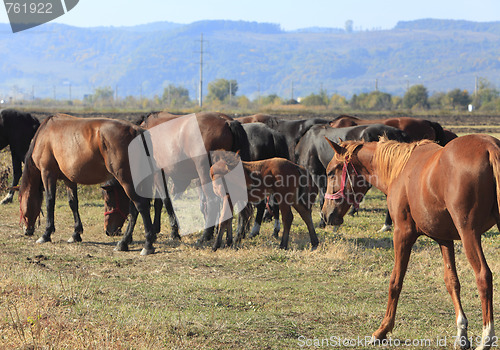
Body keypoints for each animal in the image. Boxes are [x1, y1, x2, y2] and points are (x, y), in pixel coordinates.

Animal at [18, 114, 156, 254]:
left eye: (19, 201)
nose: (26, 230)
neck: (44, 134)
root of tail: (137, 131)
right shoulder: (69, 179)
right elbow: (73, 203)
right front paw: (76, 234)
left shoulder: (47, 173)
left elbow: (49, 202)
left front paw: (46, 234)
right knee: (135, 209)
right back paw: (124, 243)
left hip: (126, 180)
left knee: (140, 206)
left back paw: (147, 245)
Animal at [320, 135, 500, 348]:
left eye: (331, 172)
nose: (325, 214)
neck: (400, 169)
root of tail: (489, 147)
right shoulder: (445, 239)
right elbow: (452, 282)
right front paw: (461, 333)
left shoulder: (402, 233)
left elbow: (395, 280)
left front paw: (382, 330)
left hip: (468, 234)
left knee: (483, 276)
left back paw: (487, 337)